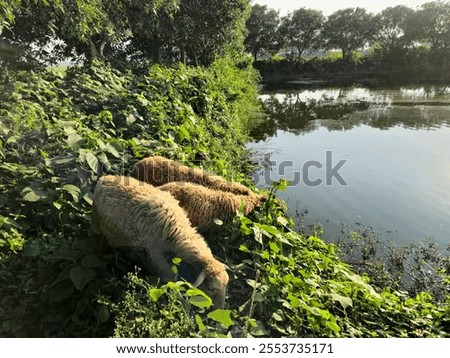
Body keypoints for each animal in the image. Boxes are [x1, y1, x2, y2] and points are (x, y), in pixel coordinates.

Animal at [90, 174, 229, 308]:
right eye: (211, 288)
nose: (220, 308)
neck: (177, 229)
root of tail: (104, 178)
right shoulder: (155, 252)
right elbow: (170, 274)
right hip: (97, 221)